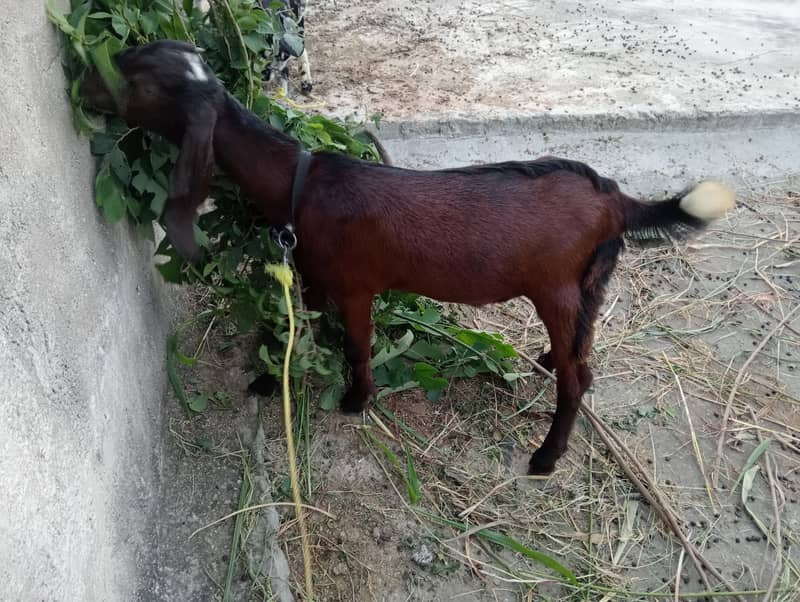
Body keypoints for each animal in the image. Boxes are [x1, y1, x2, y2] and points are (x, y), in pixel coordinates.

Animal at [80, 40, 735, 474]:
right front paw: (272, 378)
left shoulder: (354, 285)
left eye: (139, 79)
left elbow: (356, 346)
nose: (83, 81)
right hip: (590, 282)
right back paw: (549, 360)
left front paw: (355, 401)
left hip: (554, 287)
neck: (302, 184)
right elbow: (298, 326)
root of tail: (616, 200)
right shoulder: (312, 274)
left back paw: (545, 457)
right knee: (582, 350)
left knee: (580, 380)